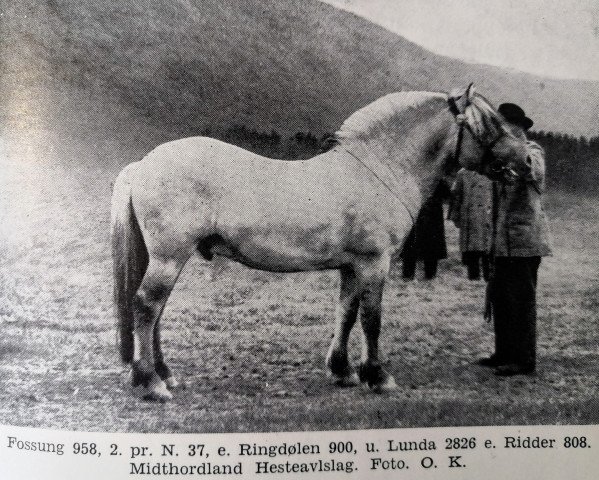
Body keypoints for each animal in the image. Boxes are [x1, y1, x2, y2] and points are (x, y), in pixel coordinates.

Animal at [111, 83, 524, 402]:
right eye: (487, 124)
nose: (522, 164)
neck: (378, 170)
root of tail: (144, 164)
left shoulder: (352, 265)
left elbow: (346, 313)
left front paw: (342, 371)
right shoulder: (374, 262)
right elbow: (372, 320)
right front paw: (377, 376)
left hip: (163, 258)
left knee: (156, 312)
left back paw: (164, 374)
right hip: (169, 257)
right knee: (147, 307)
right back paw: (152, 383)